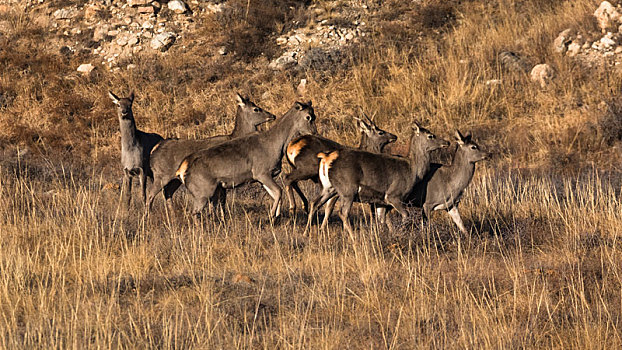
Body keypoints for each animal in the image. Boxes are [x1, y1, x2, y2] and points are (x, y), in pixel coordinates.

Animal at [146, 93, 276, 213]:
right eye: (256, 109)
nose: (273, 116)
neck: (234, 137)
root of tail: (154, 150)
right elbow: (220, 202)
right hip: (161, 175)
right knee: (150, 194)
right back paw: (149, 216)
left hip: (174, 179)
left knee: (167, 193)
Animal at [177, 100, 320, 217]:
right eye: (308, 117)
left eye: (315, 116)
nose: (314, 133)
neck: (275, 144)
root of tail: (182, 170)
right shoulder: (261, 173)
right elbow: (279, 191)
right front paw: (272, 216)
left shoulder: (263, 178)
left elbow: (276, 194)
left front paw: (277, 215)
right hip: (203, 192)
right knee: (193, 212)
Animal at [308, 121, 448, 234]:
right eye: (430, 135)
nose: (447, 142)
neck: (413, 171)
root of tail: (326, 157)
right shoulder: (394, 195)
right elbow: (405, 215)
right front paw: (400, 233)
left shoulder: (381, 201)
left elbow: (382, 220)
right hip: (348, 189)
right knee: (342, 212)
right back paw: (353, 237)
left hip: (329, 187)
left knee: (315, 203)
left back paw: (308, 233)